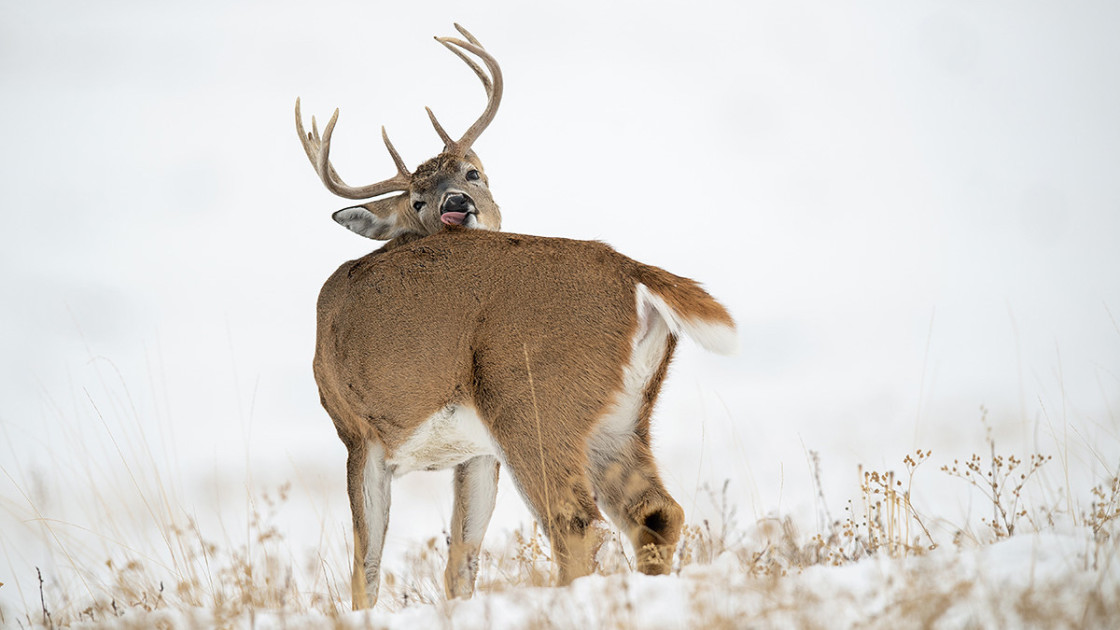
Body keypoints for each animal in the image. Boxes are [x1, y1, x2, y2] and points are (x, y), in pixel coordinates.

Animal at [297, 27, 737, 610]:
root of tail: (629, 270)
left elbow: (365, 566)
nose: (456, 204)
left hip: (530, 399)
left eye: (473, 172)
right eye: (416, 200)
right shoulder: (475, 452)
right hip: (619, 415)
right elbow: (460, 560)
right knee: (655, 511)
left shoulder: (356, 431)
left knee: (574, 522)